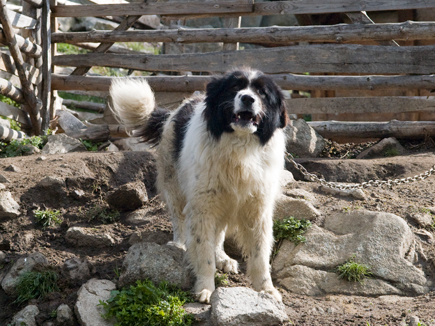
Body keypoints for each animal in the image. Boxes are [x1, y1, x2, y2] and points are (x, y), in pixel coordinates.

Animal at [110, 69, 290, 304]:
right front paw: (206, 288)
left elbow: (260, 256)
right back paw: (179, 244)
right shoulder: (202, 206)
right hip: (175, 185)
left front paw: (267, 290)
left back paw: (222, 257)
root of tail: (174, 111)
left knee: (219, 234)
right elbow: (203, 252)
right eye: (235, 87)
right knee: (179, 218)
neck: (240, 151)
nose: (247, 98)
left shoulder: (257, 210)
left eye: (262, 93)